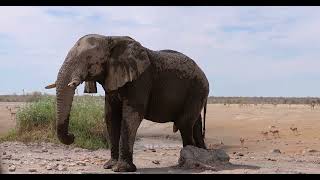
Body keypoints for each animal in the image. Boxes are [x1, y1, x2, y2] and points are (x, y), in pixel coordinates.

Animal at [45, 34, 210, 173]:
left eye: (89, 58)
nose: (72, 136)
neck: (109, 38)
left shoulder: (141, 79)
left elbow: (131, 115)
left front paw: (122, 169)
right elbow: (111, 116)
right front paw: (109, 166)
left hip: (198, 89)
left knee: (184, 123)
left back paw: (186, 164)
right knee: (194, 123)